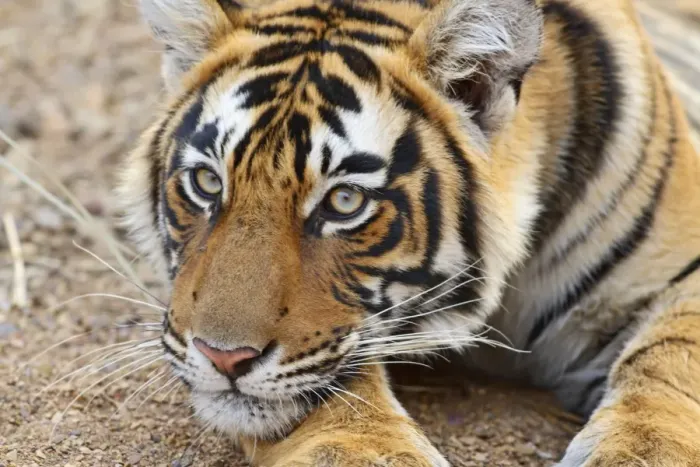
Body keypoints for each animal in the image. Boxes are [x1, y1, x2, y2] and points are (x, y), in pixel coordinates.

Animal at [117, 0, 700, 465]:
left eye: (344, 201)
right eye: (208, 182)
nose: (223, 358)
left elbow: (669, 355)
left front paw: (643, 452)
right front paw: (366, 452)